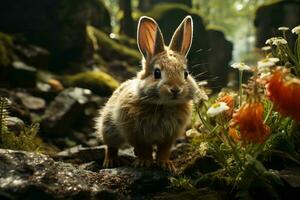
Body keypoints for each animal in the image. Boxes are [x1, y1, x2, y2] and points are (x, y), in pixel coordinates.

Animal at [95, 15, 207, 171]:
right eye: (157, 73)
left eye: (185, 74)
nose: (175, 89)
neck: (163, 105)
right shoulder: (136, 133)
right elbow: (144, 148)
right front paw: (144, 162)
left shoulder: (169, 137)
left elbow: (164, 150)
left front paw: (166, 164)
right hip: (108, 128)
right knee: (110, 146)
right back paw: (110, 162)